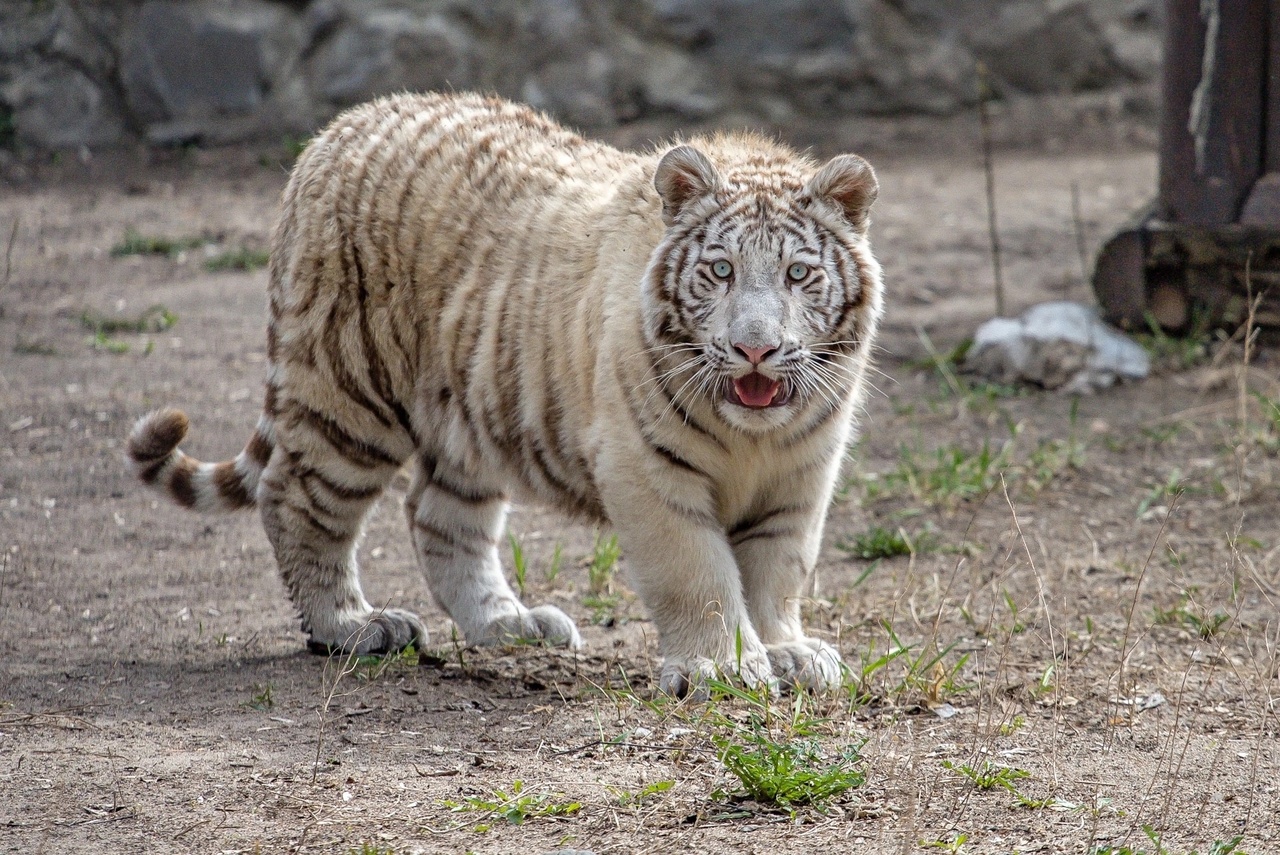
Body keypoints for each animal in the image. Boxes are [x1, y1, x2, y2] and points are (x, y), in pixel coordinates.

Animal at [132, 92, 890, 696]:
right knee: (296, 498)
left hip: (467, 413)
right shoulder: (646, 466)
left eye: (797, 274)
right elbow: (697, 570)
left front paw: (788, 652)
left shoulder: (802, 475)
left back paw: (510, 623)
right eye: (721, 270)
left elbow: (776, 571)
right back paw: (351, 626)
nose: (755, 348)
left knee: (439, 518)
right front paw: (722, 668)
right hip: (350, 394)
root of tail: (335, 132)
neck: (752, 436)